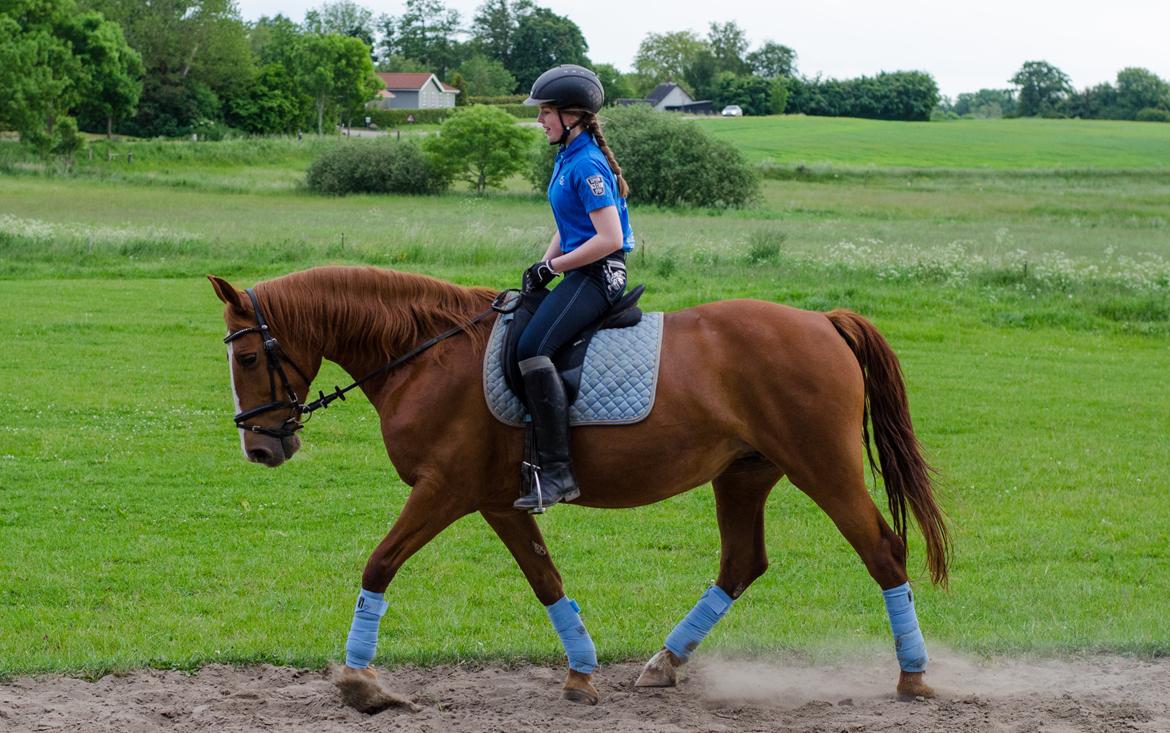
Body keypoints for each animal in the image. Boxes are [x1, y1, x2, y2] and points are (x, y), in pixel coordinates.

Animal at [212, 262, 950, 707]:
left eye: (246, 357)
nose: (260, 446)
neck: (426, 356)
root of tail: (823, 320)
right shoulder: (498, 502)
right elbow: (546, 579)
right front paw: (581, 672)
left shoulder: (443, 490)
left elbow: (380, 562)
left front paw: (362, 681)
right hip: (744, 474)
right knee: (743, 562)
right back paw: (663, 662)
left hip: (822, 467)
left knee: (883, 551)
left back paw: (913, 676)